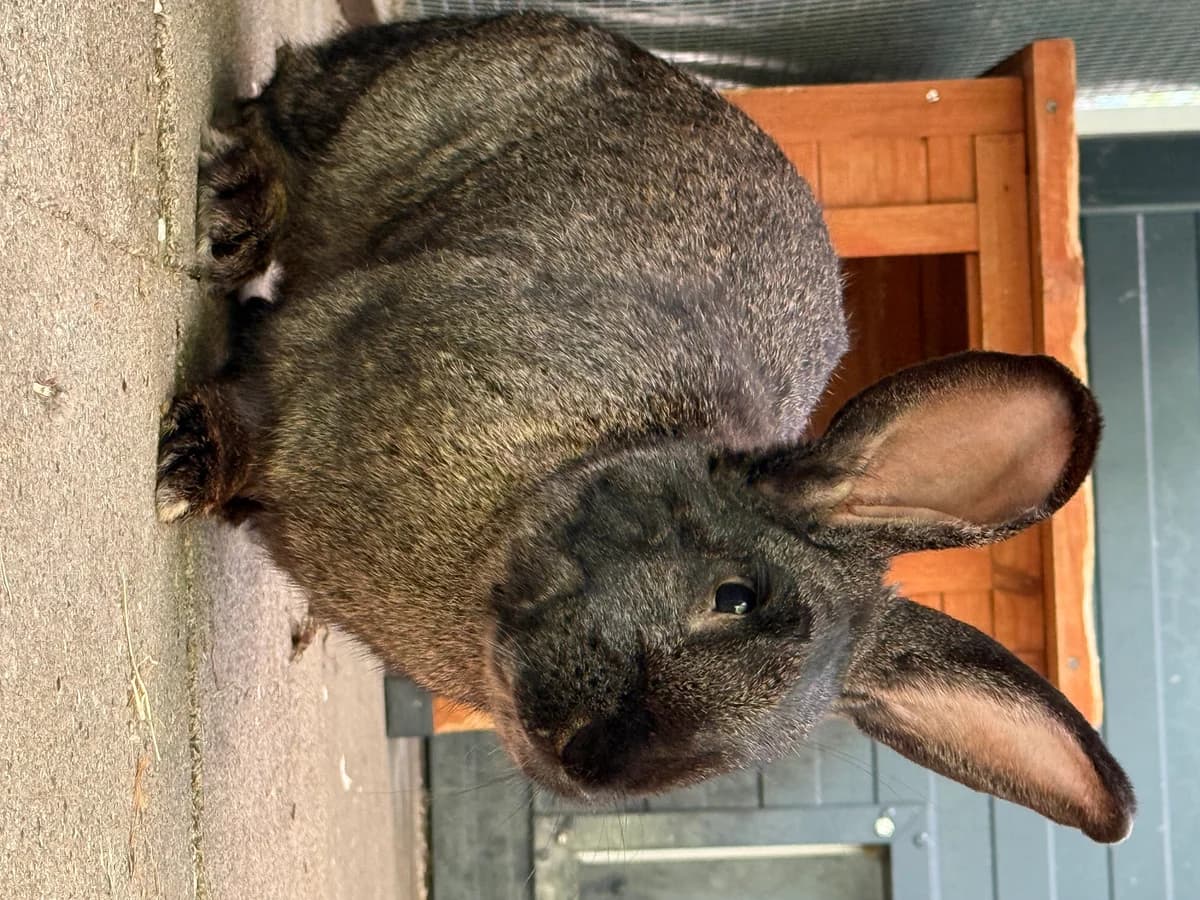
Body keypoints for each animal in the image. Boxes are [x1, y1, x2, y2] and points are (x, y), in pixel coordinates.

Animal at [158, 12, 1135, 842]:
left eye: (762, 750)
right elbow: (252, 403)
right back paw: (235, 218)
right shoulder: (320, 355)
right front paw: (182, 467)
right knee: (280, 114)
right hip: (389, 113)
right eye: (736, 595)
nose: (586, 756)